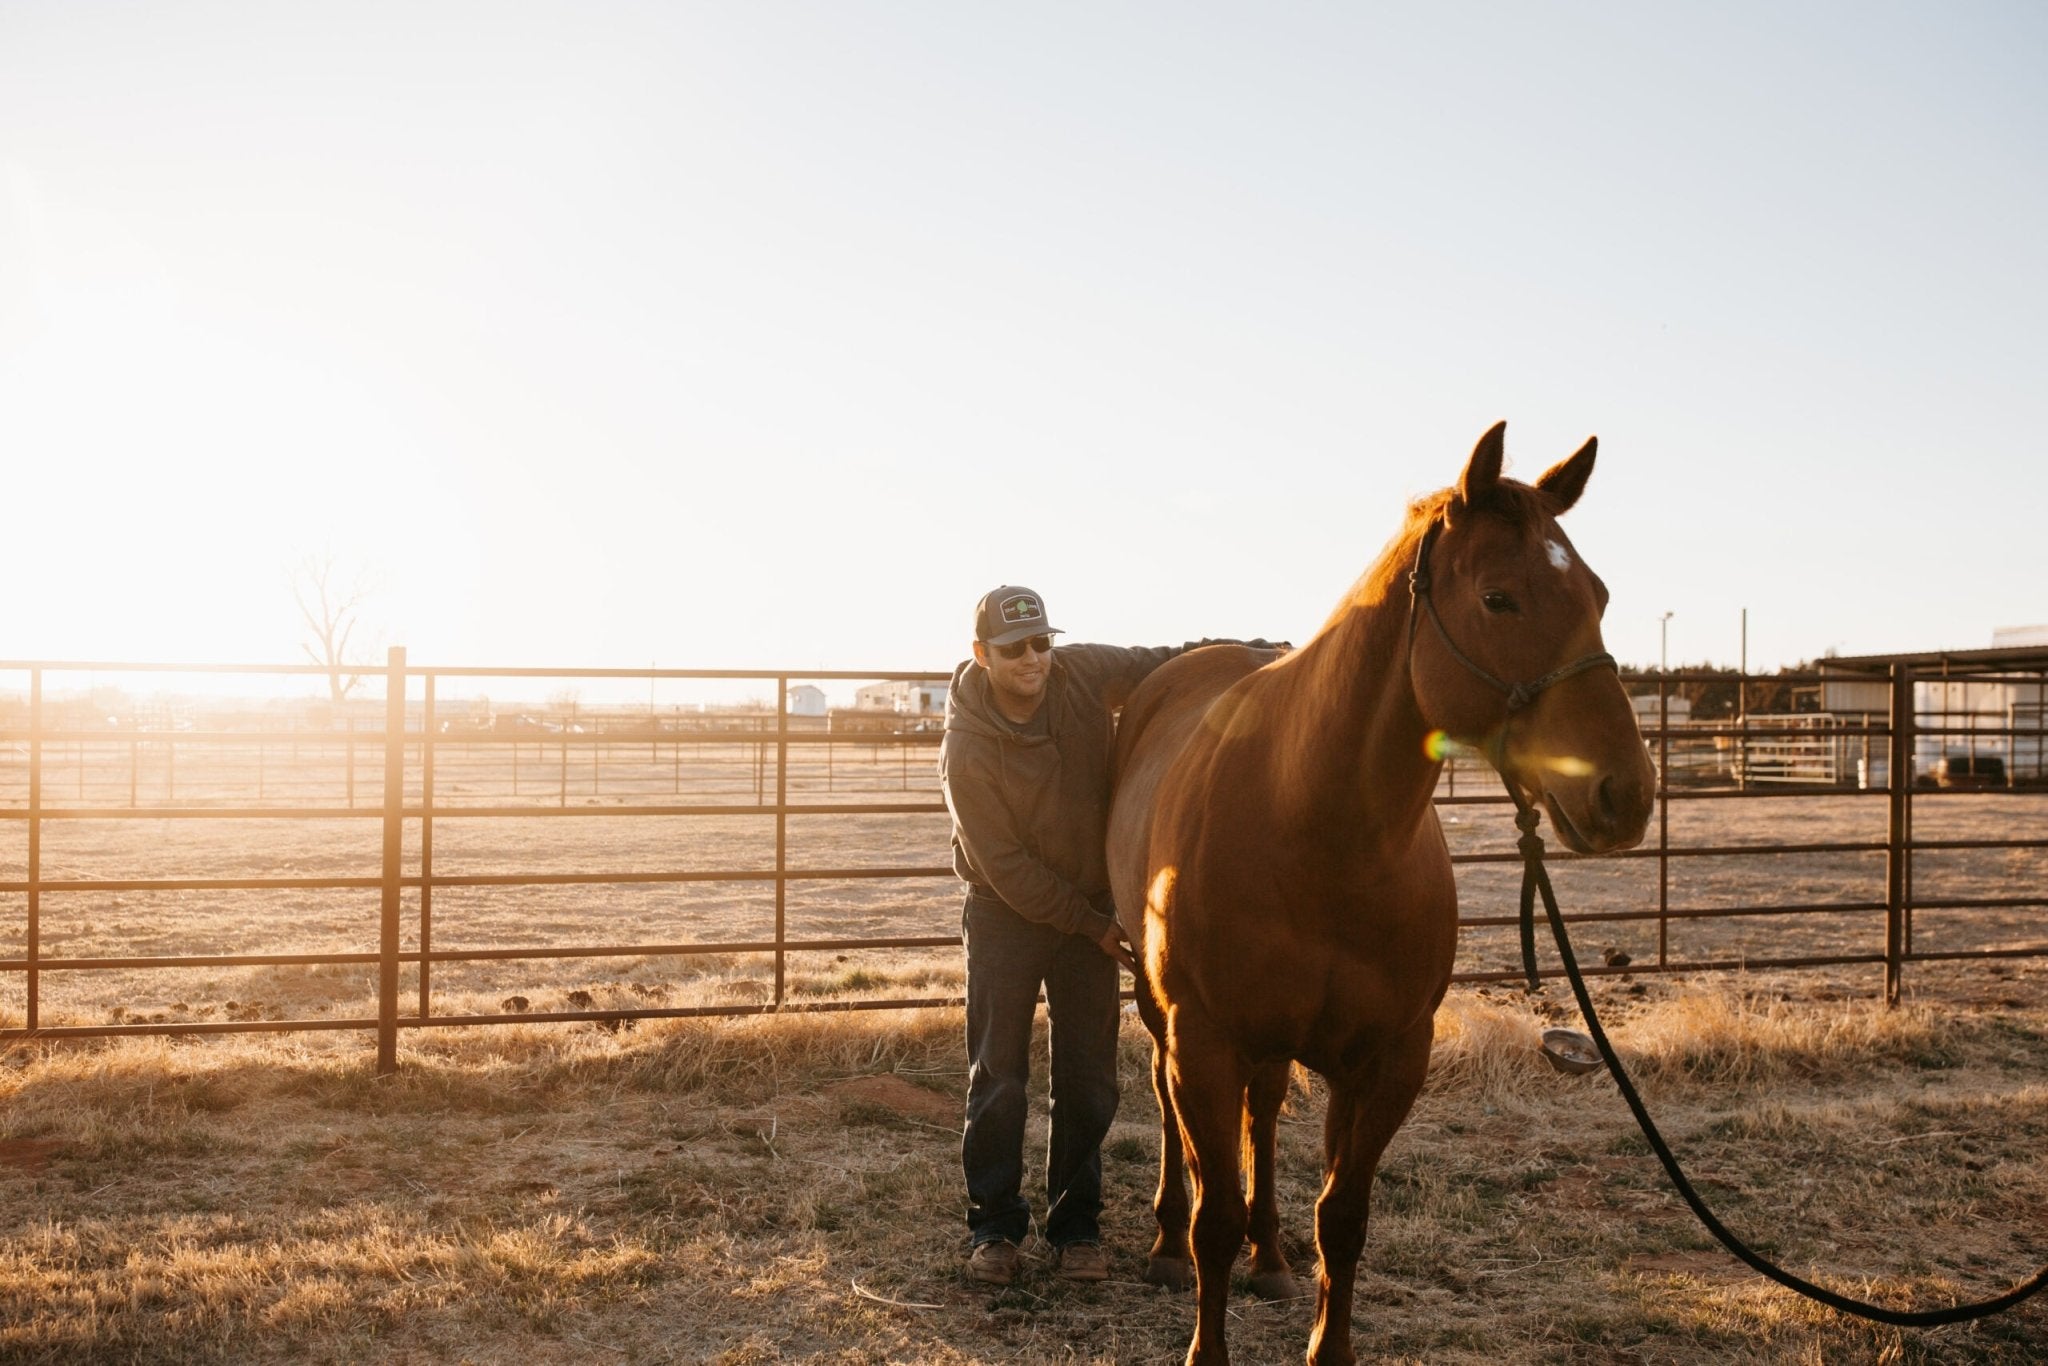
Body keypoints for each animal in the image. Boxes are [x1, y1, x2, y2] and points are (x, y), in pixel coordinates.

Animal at [1106, 422, 1657, 1366]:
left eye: (1598, 593)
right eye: (1500, 599)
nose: (1626, 792)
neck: (1318, 828)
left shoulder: (1388, 1059)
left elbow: (1344, 1219)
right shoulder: (1204, 1041)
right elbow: (1215, 1215)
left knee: (1264, 1117)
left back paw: (1271, 1258)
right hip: (1162, 1012)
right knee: (1175, 1119)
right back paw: (1167, 1244)